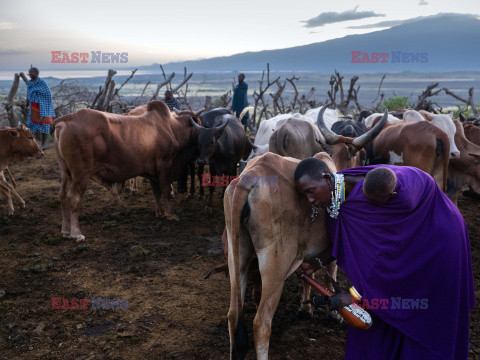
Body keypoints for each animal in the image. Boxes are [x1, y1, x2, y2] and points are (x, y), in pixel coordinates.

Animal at [54, 100, 202, 242]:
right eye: (198, 123)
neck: (172, 127)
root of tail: (68, 119)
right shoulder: (164, 165)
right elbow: (165, 191)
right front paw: (171, 214)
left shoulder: (153, 172)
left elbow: (156, 193)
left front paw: (160, 213)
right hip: (81, 175)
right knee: (73, 198)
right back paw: (77, 234)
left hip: (66, 172)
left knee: (62, 195)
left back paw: (66, 231)